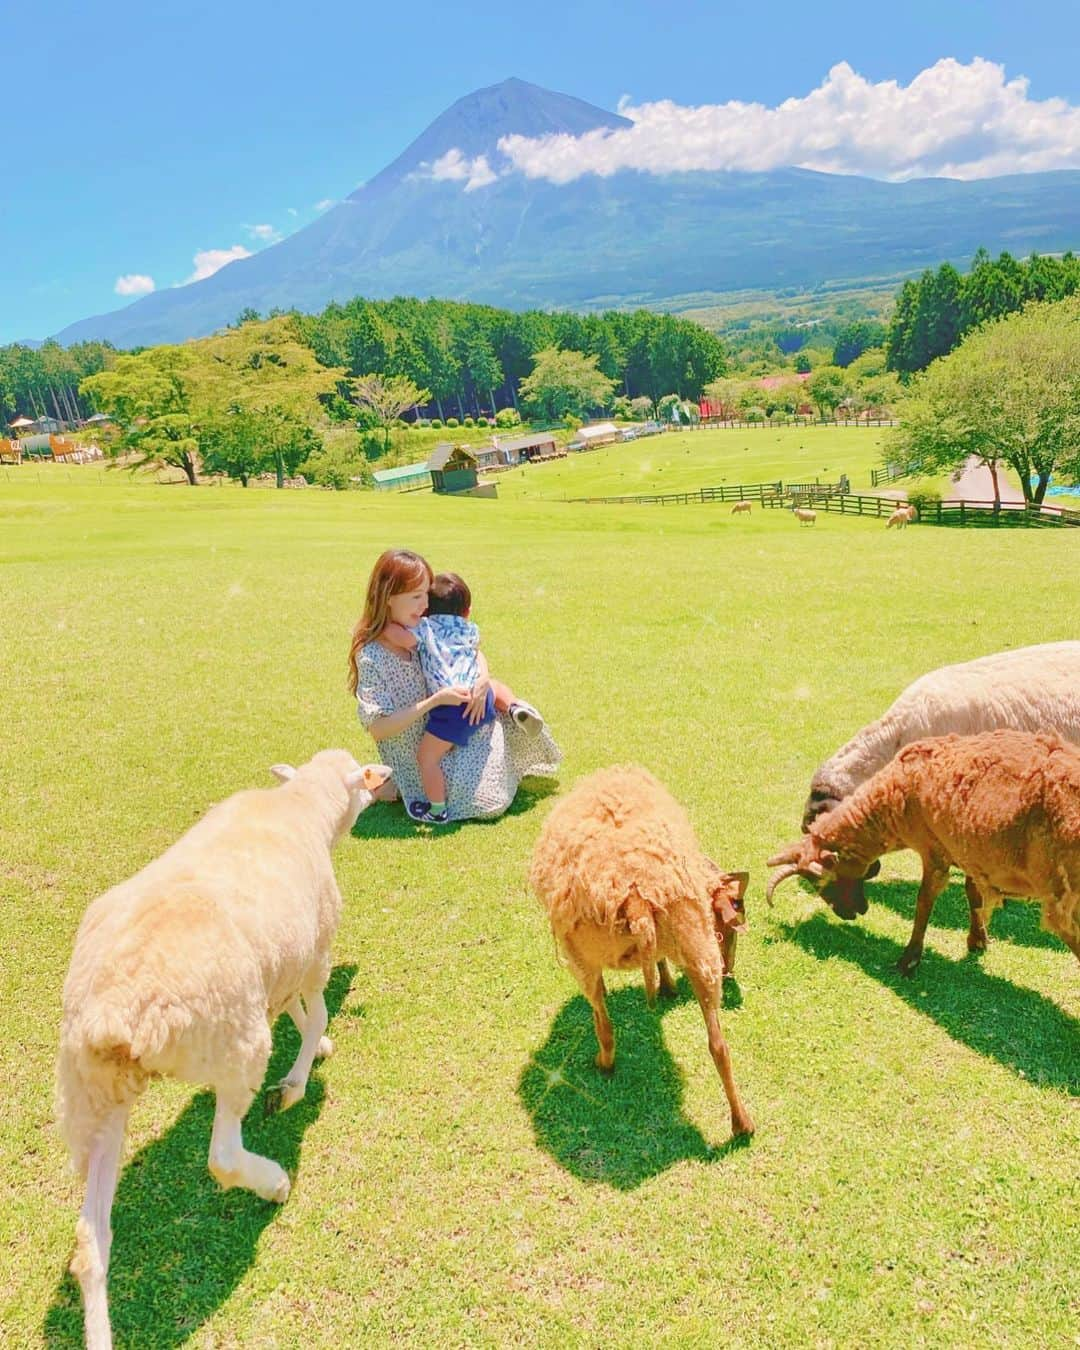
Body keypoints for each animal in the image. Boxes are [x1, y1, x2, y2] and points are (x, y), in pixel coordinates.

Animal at [56, 750, 391, 1350]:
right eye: (362, 778)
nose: (383, 785)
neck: (301, 806)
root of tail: (114, 1010)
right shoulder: (314, 954)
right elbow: (314, 1013)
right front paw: (300, 1078)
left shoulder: (282, 966)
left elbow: (294, 1009)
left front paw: (317, 1046)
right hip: (236, 1045)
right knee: (223, 1157)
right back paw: (274, 1182)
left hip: (92, 1091)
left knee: (91, 1241)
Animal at [529, 766, 750, 1134]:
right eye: (729, 926)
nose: (730, 969)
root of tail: (635, 899)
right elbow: (660, 960)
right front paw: (669, 987)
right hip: (698, 947)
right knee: (718, 1045)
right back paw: (742, 1124)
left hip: (580, 958)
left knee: (602, 1019)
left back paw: (603, 1062)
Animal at [761, 734, 1080, 977]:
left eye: (822, 883)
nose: (852, 913)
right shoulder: (968, 852)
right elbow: (973, 894)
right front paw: (978, 941)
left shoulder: (934, 850)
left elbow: (924, 901)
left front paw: (908, 959)